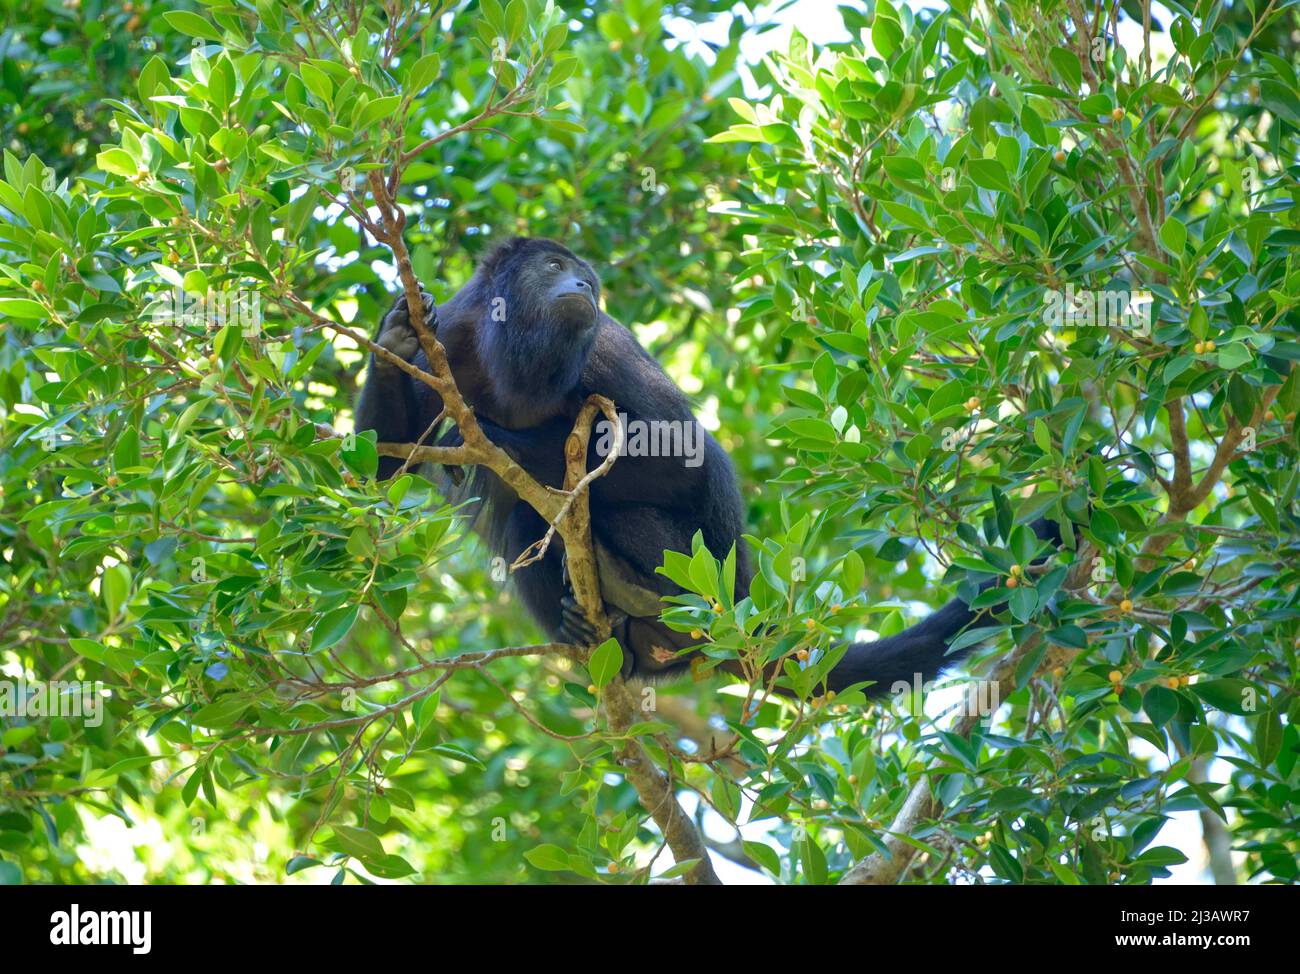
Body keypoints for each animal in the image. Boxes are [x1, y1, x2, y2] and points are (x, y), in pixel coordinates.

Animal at [353, 239, 1055, 697]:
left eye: (591, 283)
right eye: (555, 267)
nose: (581, 288)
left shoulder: (604, 344)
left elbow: (686, 457)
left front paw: (492, 435)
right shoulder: (453, 336)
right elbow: (380, 471)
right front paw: (393, 341)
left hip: (713, 577)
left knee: (609, 511)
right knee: (528, 522)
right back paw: (587, 626)